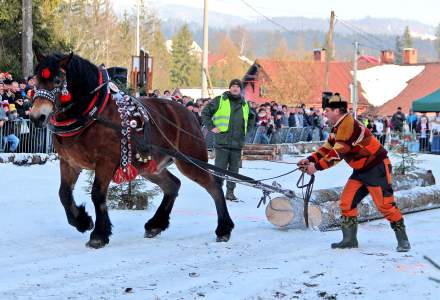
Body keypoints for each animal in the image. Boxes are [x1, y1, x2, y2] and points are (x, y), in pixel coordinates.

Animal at [29, 52, 234, 248]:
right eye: (36, 80)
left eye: (58, 80)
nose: (37, 117)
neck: (92, 113)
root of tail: (189, 113)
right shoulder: (69, 162)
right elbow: (64, 193)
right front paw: (82, 221)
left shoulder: (106, 162)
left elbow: (97, 194)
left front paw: (99, 235)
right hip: (149, 167)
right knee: (173, 185)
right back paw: (155, 225)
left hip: (189, 161)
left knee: (213, 185)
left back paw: (224, 228)